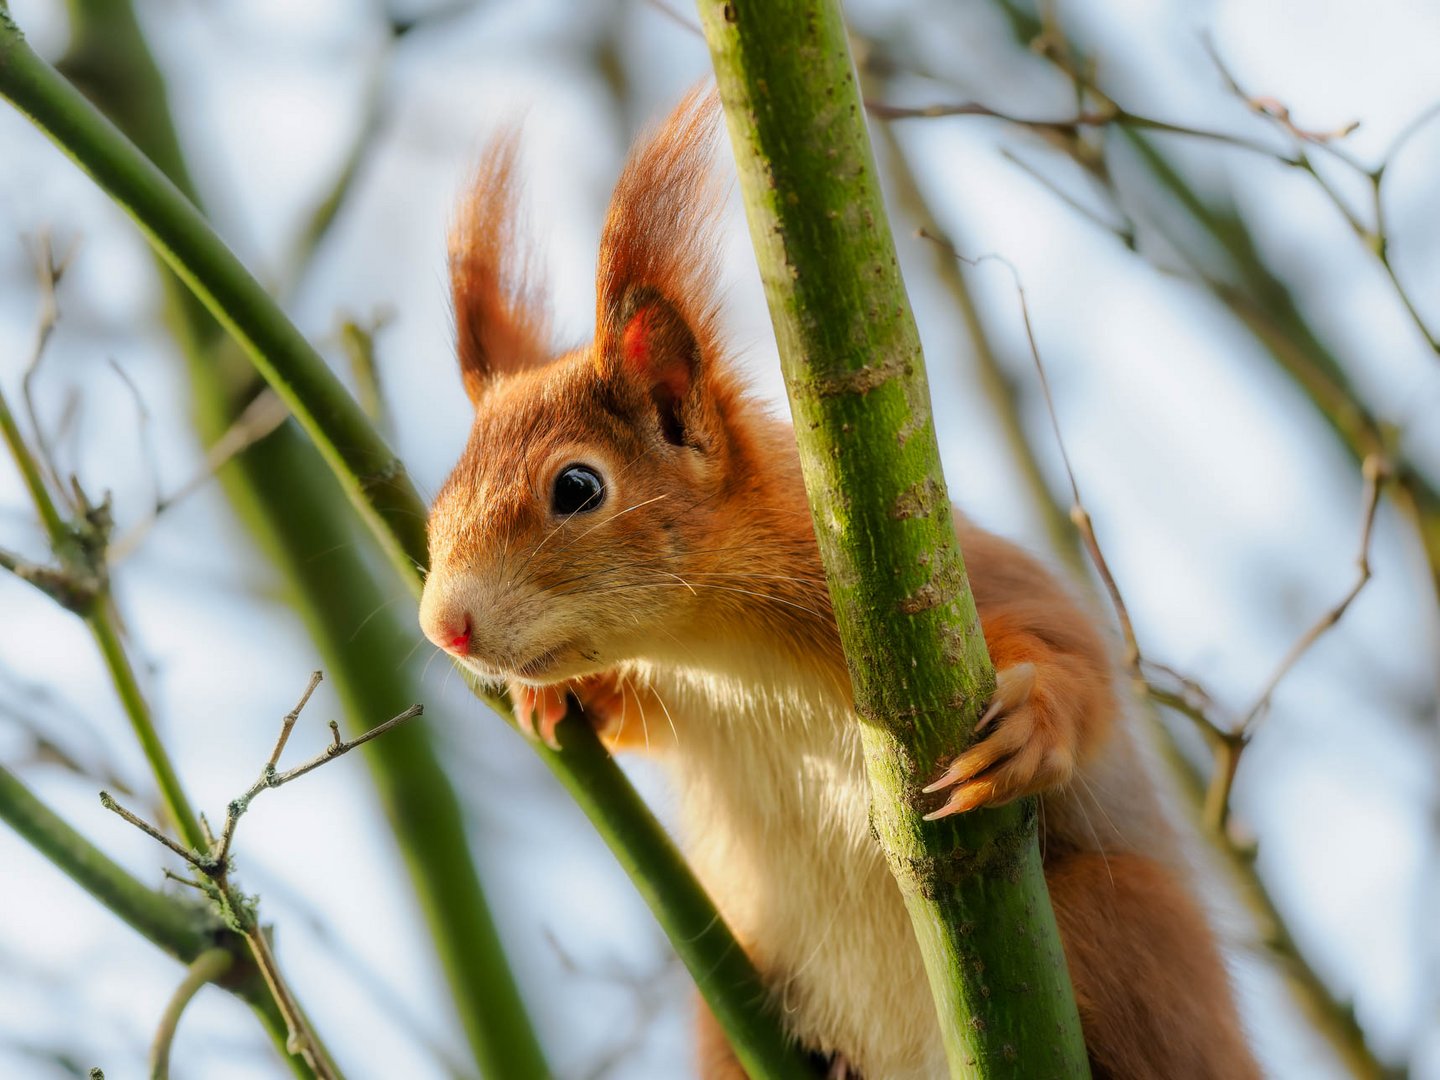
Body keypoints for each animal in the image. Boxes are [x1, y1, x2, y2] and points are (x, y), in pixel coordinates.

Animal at [420, 92, 1261, 1080]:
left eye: (578, 488)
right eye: (442, 490)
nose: (445, 627)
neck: (716, 647)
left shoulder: (955, 581)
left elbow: (1068, 645)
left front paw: (1032, 720)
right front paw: (560, 701)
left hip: (1118, 929)